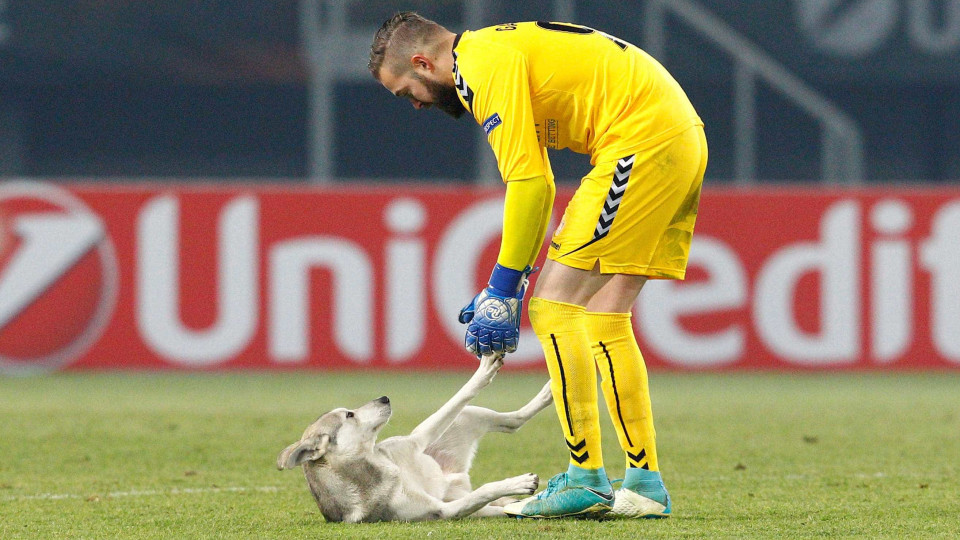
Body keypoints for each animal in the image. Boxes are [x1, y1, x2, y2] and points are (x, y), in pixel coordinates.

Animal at [274, 354, 552, 524]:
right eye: (349, 415)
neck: (380, 467)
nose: (384, 398)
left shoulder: (417, 439)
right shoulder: (444, 510)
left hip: (466, 416)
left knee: (512, 419)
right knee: (512, 428)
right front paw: (520, 484)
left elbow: (463, 392)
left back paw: (548, 392)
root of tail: (455, 478)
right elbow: (484, 494)